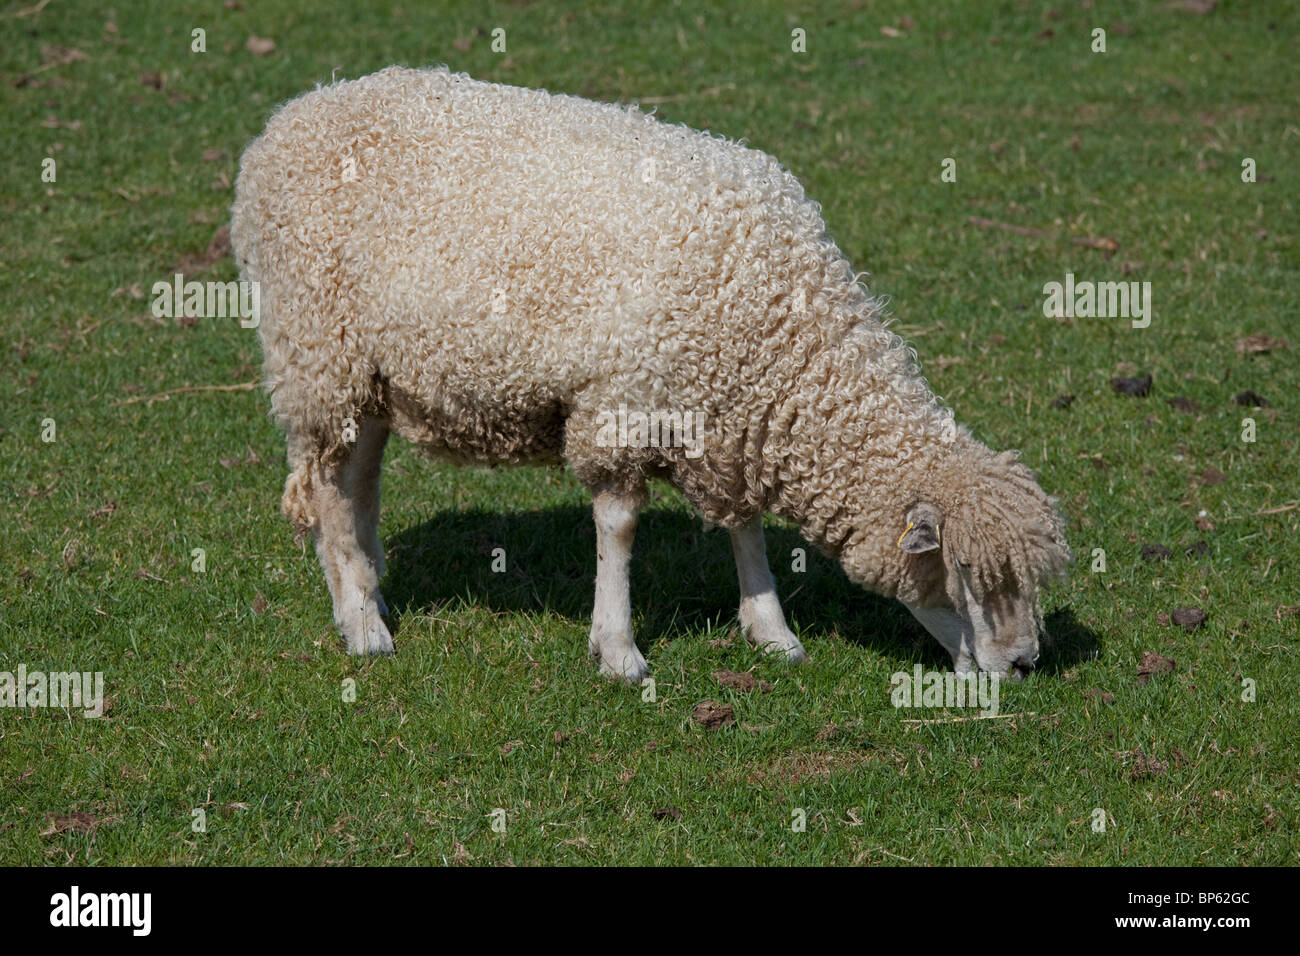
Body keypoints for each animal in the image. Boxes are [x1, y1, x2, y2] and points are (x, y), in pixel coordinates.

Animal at [231, 65, 1066, 681]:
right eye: (969, 573)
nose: (1025, 665)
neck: (775, 319)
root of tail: (293, 115)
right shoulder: (622, 404)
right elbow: (620, 527)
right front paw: (619, 649)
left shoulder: (725, 414)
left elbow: (743, 524)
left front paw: (770, 628)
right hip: (316, 349)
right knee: (328, 487)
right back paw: (362, 624)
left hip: (369, 372)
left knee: (358, 481)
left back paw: (368, 584)